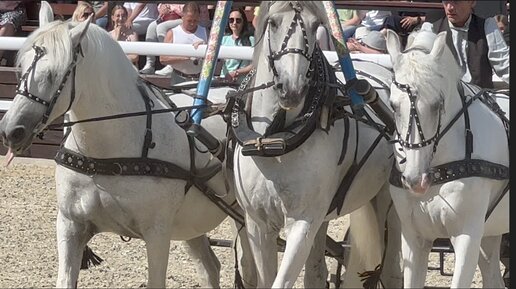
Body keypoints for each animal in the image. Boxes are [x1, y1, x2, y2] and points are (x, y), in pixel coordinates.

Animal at [0, 2, 256, 288]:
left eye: (54, 75)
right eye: (20, 67)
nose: (11, 131)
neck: (106, 154)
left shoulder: (157, 234)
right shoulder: (70, 225)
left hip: (244, 218)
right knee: (209, 267)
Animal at [232, 1, 402, 286]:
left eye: (315, 27)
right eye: (273, 23)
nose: (292, 89)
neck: (275, 143)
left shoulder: (303, 222)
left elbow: (281, 281)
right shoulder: (258, 224)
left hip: (387, 204)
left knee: (390, 271)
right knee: (316, 271)